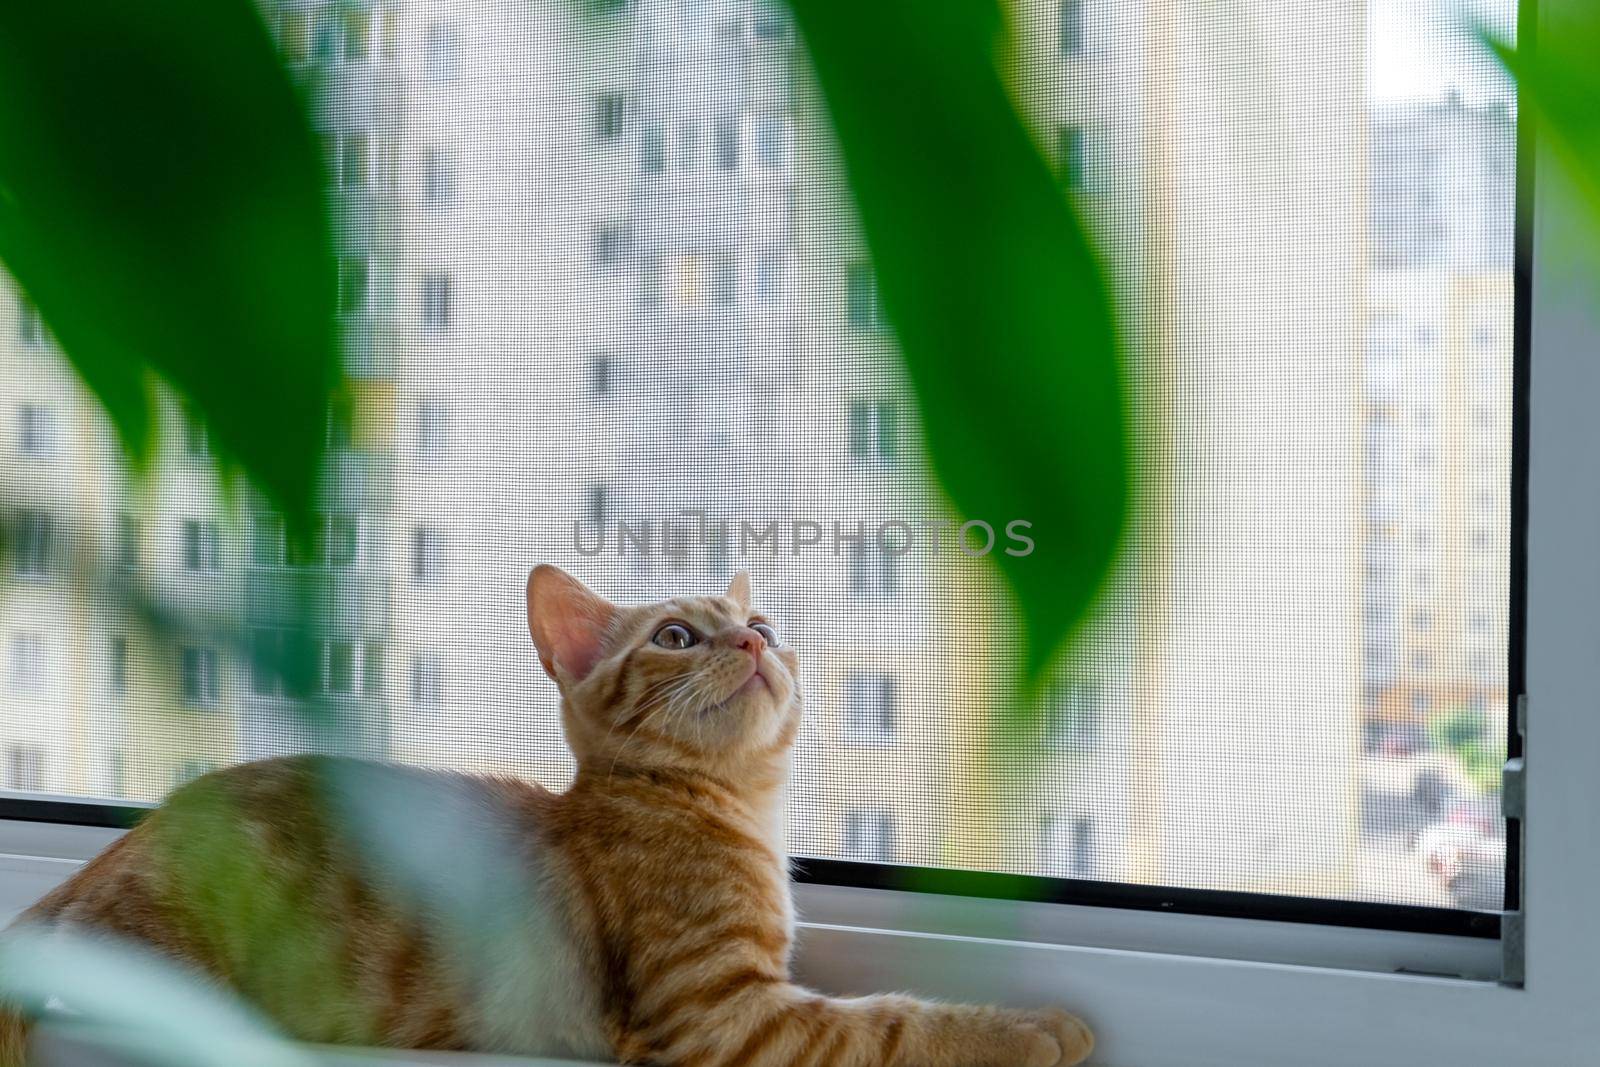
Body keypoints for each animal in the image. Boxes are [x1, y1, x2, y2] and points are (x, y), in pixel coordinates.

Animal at [0, 563, 1094, 1062]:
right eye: (677, 634)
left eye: (763, 621)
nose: (752, 641)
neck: (727, 810)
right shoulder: (723, 1017)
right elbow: (891, 1021)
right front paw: (1036, 1028)